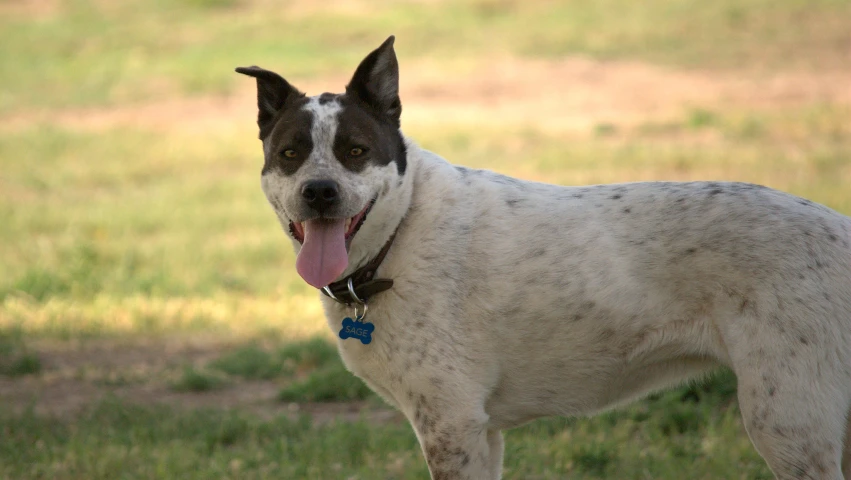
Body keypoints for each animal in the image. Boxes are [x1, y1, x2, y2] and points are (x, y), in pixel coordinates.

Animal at [236, 35, 851, 478]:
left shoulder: (451, 427)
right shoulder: (481, 434)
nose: (319, 192)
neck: (399, 235)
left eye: (356, 151)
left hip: (787, 425)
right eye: (290, 154)